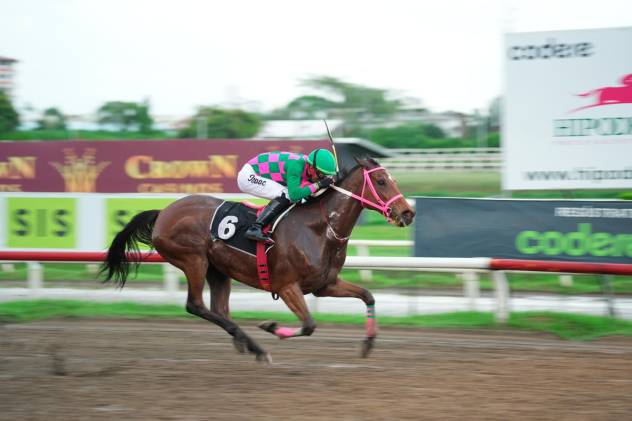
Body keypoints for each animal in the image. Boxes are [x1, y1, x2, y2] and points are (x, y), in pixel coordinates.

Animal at [100, 158, 414, 360]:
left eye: (393, 179)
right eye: (381, 180)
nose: (408, 212)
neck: (321, 227)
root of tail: (163, 212)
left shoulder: (325, 285)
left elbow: (368, 295)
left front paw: (368, 343)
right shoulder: (287, 286)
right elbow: (309, 325)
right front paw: (271, 327)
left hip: (218, 268)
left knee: (219, 309)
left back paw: (244, 343)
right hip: (193, 260)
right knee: (196, 306)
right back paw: (255, 347)